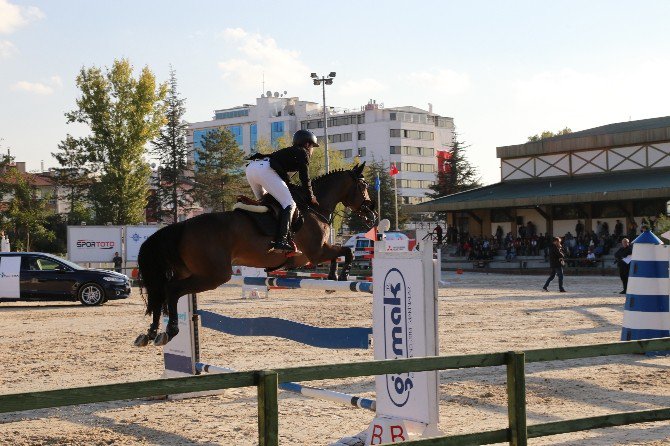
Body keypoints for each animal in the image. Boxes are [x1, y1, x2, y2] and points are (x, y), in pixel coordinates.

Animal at [135, 162, 378, 346]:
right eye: (363, 185)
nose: (373, 215)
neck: (313, 207)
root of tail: (182, 226)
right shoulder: (315, 253)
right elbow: (346, 251)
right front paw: (341, 275)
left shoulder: (315, 254)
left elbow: (339, 253)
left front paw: (331, 279)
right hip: (213, 275)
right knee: (172, 290)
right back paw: (170, 331)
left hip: (188, 271)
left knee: (162, 293)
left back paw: (150, 333)